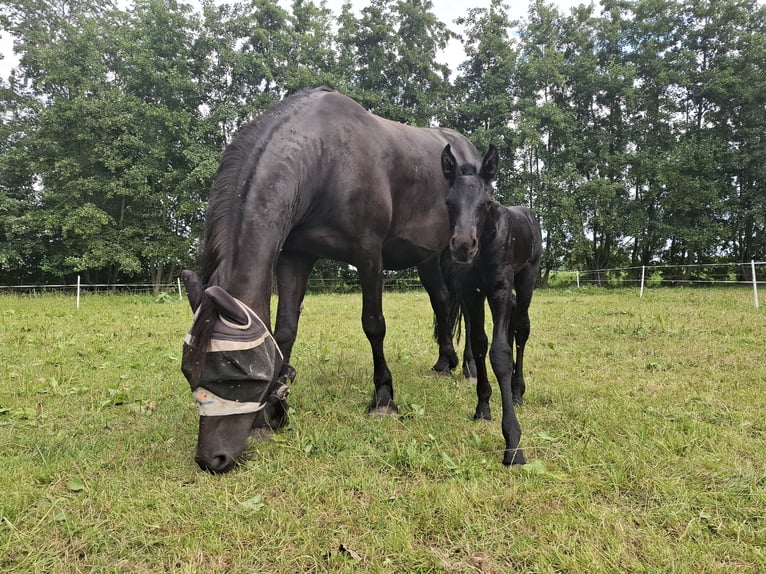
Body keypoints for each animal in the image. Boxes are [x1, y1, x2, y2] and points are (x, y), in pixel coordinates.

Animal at [180, 87, 499, 473]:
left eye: (237, 375)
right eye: (189, 371)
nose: (211, 459)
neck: (324, 159)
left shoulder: (369, 255)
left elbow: (374, 324)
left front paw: (383, 399)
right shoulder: (294, 257)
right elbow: (284, 331)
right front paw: (269, 417)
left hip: (459, 254)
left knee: (462, 304)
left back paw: (468, 367)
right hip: (429, 257)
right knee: (442, 300)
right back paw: (444, 363)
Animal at [440, 145, 543, 466]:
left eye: (485, 202)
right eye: (449, 202)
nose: (463, 246)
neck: (485, 245)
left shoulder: (499, 289)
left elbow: (500, 353)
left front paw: (513, 443)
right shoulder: (472, 292)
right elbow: (480, 344)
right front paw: (482, 406)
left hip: (526, 278)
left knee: (521, 328)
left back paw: (518, 391)